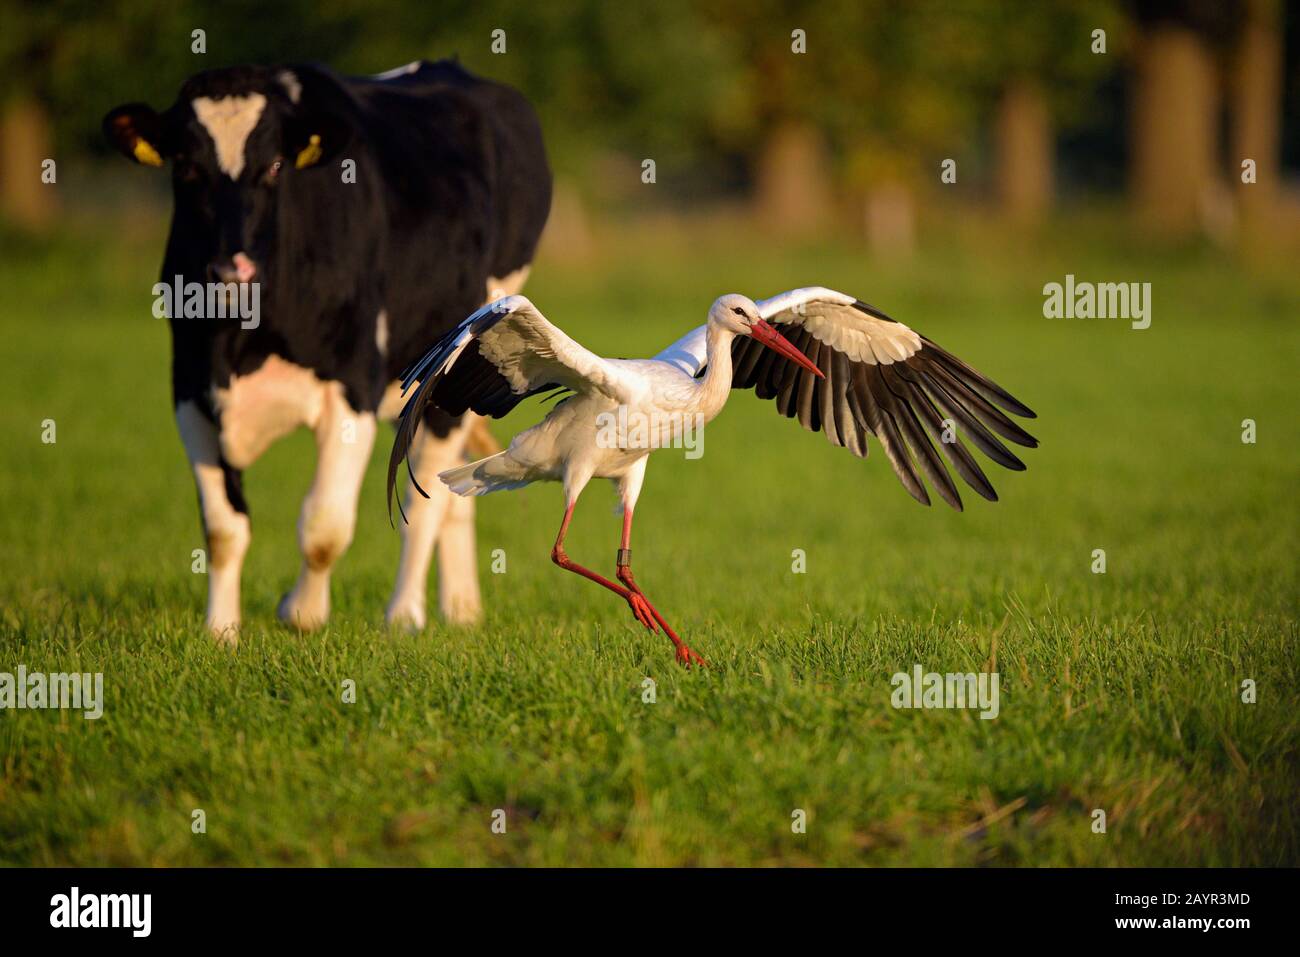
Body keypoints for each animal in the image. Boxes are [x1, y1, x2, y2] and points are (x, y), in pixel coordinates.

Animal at [102, 59, 548, 642]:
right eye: (186, 167)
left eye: (274, 166)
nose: (229, 270)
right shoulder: (191, 388)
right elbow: (223, 529)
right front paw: (221, 633)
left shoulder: (350, 389)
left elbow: (324, 526)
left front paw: (303, 613)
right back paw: (462, 609)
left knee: (424, 496)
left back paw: (405, 614)